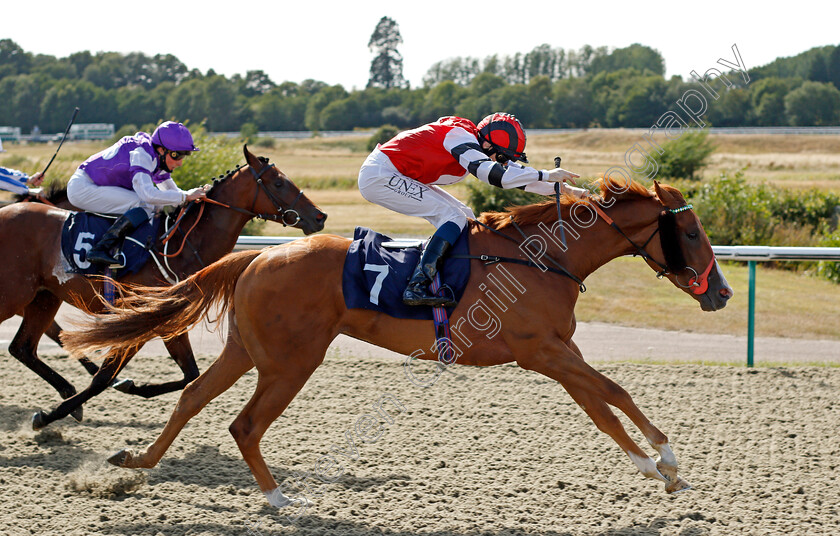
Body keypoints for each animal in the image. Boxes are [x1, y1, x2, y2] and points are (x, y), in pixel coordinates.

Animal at [0, 144, 326, 430]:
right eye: (279, 182)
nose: (319, 216)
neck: (181, 245)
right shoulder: (140, 318)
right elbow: (103, 378)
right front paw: (49, 415)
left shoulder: (168, 321)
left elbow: (189, 374)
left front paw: (129, 386)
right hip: (14, 296)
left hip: (43, 297)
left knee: (22, 348)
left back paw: (67, 390)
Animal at [64, 178, 736, 508]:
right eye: (692, 233)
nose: (723, 293)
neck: (545, 256)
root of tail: (253, 258)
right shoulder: (542, 353)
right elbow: (614, 392)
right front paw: (667, 459)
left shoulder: (557, 355)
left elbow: (604, 408)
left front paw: (659, 470)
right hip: (290, 361)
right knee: (243, 424)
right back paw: (279, 498)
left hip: (246, 351)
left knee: (193, 397)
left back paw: (134, 464)